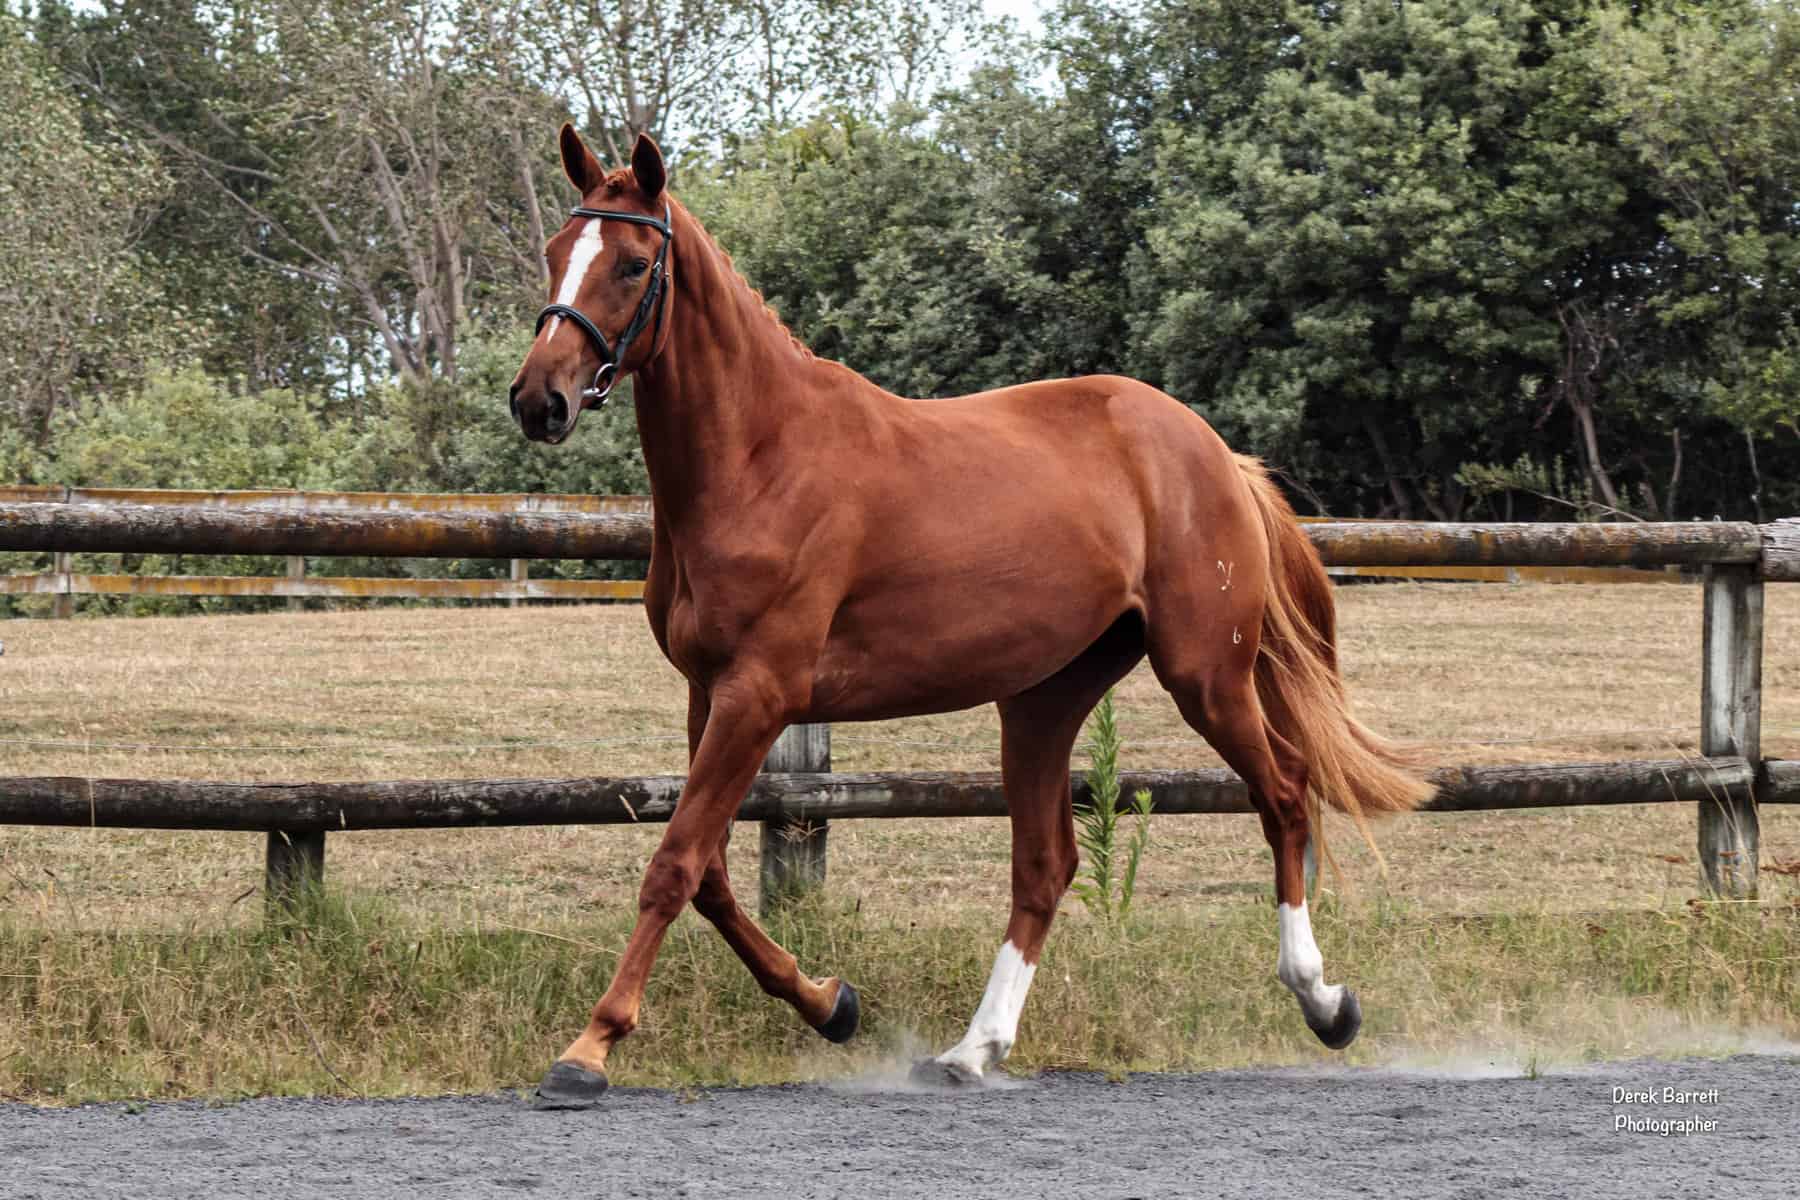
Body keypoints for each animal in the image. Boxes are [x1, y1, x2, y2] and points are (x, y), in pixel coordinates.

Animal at [509, 125, 1432, 1108]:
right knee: (1047, 865)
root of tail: (1216, 453)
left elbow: (675, 865)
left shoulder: (758, 695)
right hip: (1043, 698)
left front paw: (589, 1050)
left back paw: (1324, 1002)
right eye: (557, 253)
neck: (759, 458)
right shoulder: (708, 693)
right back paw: (970, 1050)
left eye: (634, 263)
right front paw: (831, 1004)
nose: (538, 401)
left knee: (1285, 795)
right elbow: (713, 875)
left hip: (1206, 676)